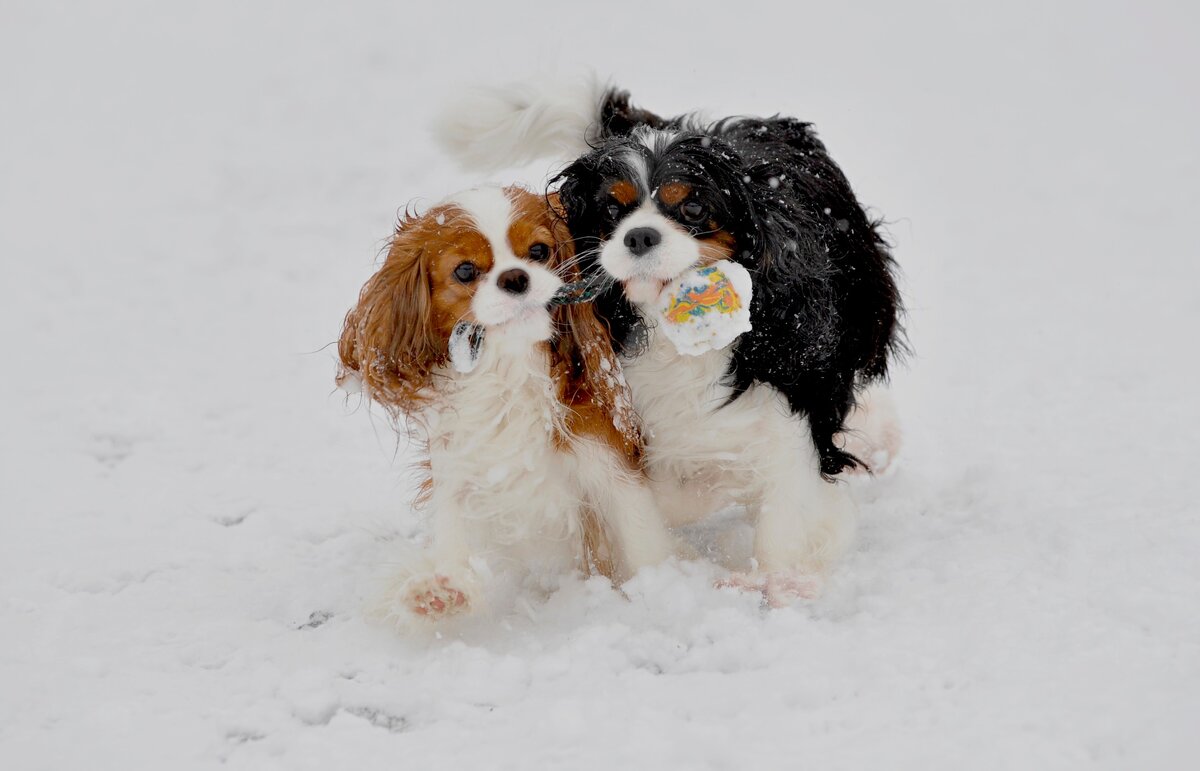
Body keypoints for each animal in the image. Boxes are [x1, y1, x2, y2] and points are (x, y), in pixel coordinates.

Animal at [338, 186, 676, 624]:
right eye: (465, 271)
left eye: (539, 250)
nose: (515, 277)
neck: (511, 368)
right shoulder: (461, 461)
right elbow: (453, 527)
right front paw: (442, 588)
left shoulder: (608, 460)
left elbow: (641, 541)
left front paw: (660, 589)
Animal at [439, 82, 902, 600]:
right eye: (612, 210)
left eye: (694, 208)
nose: (640, 236)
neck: (671, 333)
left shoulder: (793, 401)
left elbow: (784, 508)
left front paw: (779, 578)